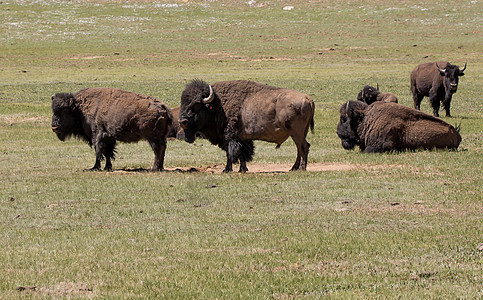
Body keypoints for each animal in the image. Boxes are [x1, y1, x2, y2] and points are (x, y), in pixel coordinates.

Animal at [180, 78, 316, 172]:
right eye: (183, 102)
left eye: (196, 105)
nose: (182, 121)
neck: (217, 104)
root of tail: (308, 99)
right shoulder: (242, 138)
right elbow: (242, 154)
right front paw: (242, 169)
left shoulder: (230, 137)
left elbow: (231, 153)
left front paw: (226, 169)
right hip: (299, 133)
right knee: (300, 148)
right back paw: (293, 168)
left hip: (296, 132)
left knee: (303, 147)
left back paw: (301, 168)